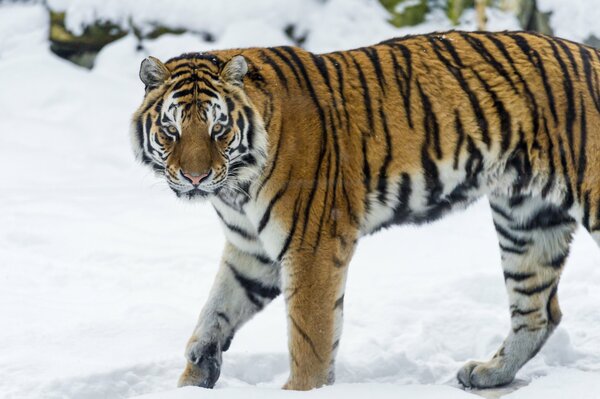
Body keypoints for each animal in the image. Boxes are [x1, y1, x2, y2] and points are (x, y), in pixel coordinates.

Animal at [131, 30, 600, 390]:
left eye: (219, 128)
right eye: (171, 129)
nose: (194, 177)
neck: (235, 187)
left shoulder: (311, 246)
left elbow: (310, 337)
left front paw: (301, 389)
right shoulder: (251, 251)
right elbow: (216, 311)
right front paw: (197, 369)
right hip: (526, 218)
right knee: (539, 311)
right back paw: (491, 373)